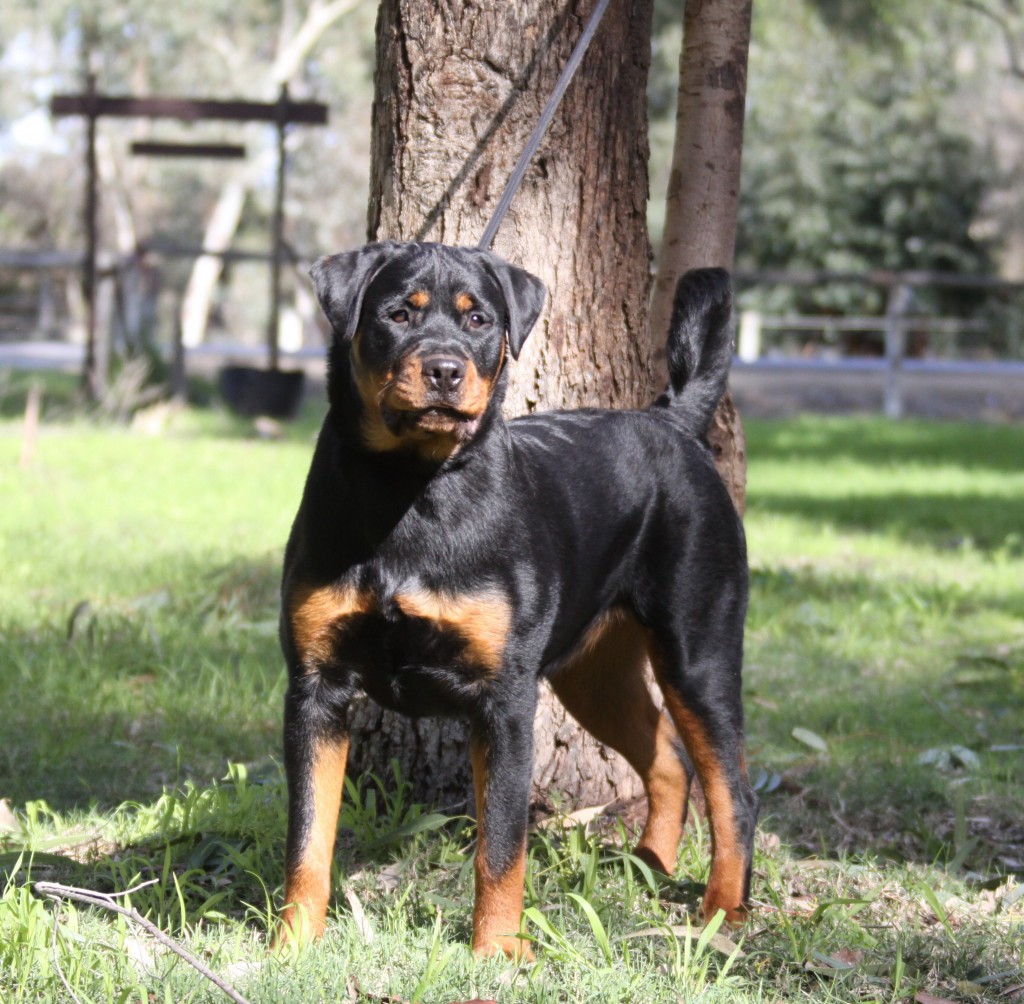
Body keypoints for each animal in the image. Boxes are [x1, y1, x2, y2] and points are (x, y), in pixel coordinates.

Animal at [276, 240, 757, 958]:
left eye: (478, 320)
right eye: (397, 314)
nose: (444, 369)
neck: (409, 489)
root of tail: (668, 419)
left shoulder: (503, 698)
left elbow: (501, 845)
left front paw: (498, 953)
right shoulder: (316, 687)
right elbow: (308, 837)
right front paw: (291, 947)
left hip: (698, 650)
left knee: (733, 793)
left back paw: (722, 917)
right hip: (594, 673)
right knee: (669, 758)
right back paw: (649, 865)